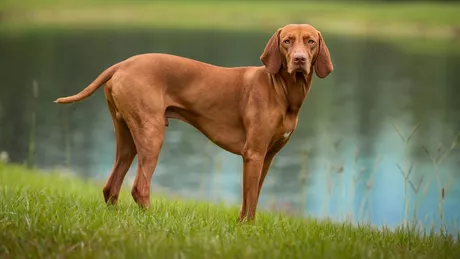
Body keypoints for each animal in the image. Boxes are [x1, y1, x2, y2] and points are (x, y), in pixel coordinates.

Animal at [55, 24, 332, 222]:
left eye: (310, 41)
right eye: (287, 41)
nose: (299, 60)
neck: (282, 91)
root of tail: (123, 64)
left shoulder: (266, 157)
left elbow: (250, 198)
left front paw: (243, 225)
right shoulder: (253, 154)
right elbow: (251, 199)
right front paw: (248, 228)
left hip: (127, 139)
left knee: (111, 186)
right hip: (151, 134)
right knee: (139, 187)